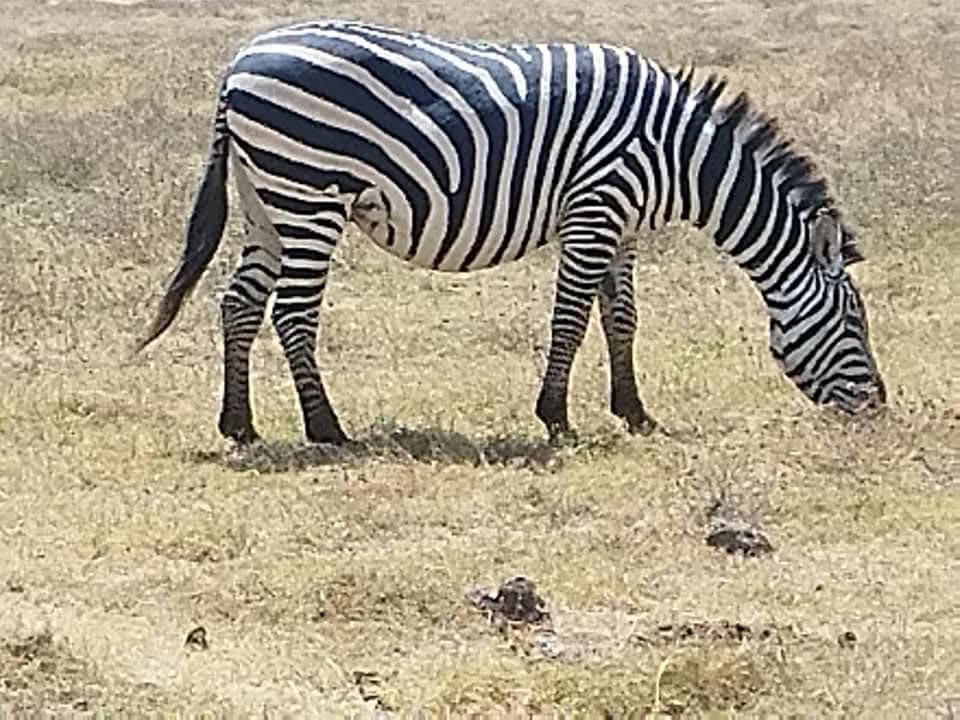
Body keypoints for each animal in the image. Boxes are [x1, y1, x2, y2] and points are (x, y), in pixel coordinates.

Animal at [134, 19, 886, 446]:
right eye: (855, 322)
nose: (877, 410)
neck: (678, 153)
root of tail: (240, 62)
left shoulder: (622, 224)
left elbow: (622, 318)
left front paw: (635, 413)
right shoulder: (596, 207)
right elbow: (570, 319)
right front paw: (556, 417)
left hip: (268, 198)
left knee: (238, 304)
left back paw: (240, 426)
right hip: (308, 191)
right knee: (291, 312)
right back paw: (327, 430)